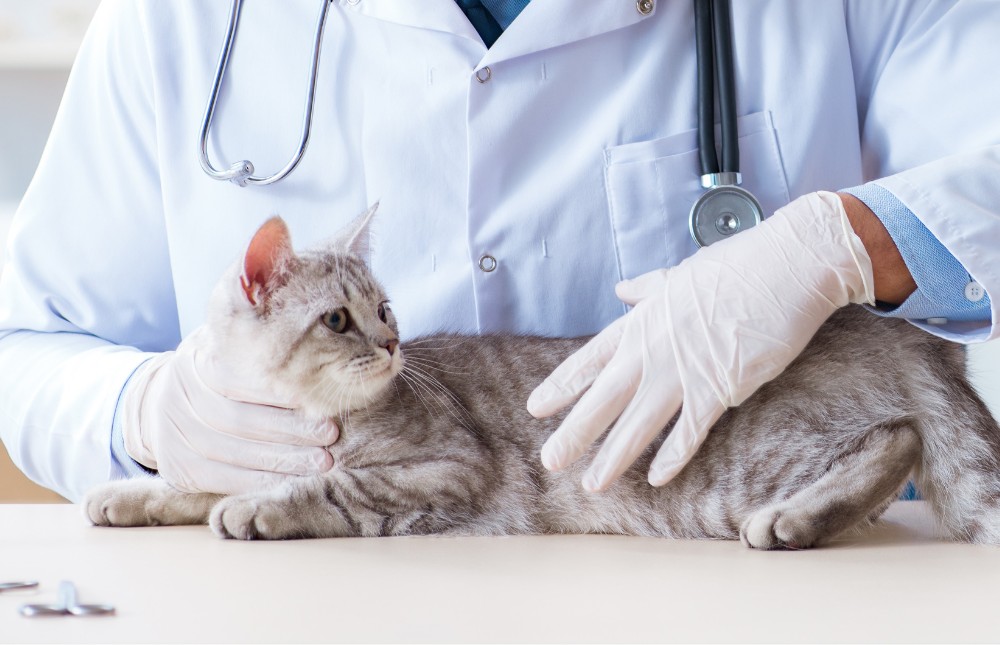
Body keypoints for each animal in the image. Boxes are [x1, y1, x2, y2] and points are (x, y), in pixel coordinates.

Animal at [82, 209, 1000, 544]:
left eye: (384, 309)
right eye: (341, 319)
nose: (393, 344)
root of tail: (903, 332)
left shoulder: (453, 467)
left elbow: (332, 488)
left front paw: (262, 507)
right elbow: (194, 480)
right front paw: (131, 493)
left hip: (726, 470)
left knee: (896, 438)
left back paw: (795, 519)